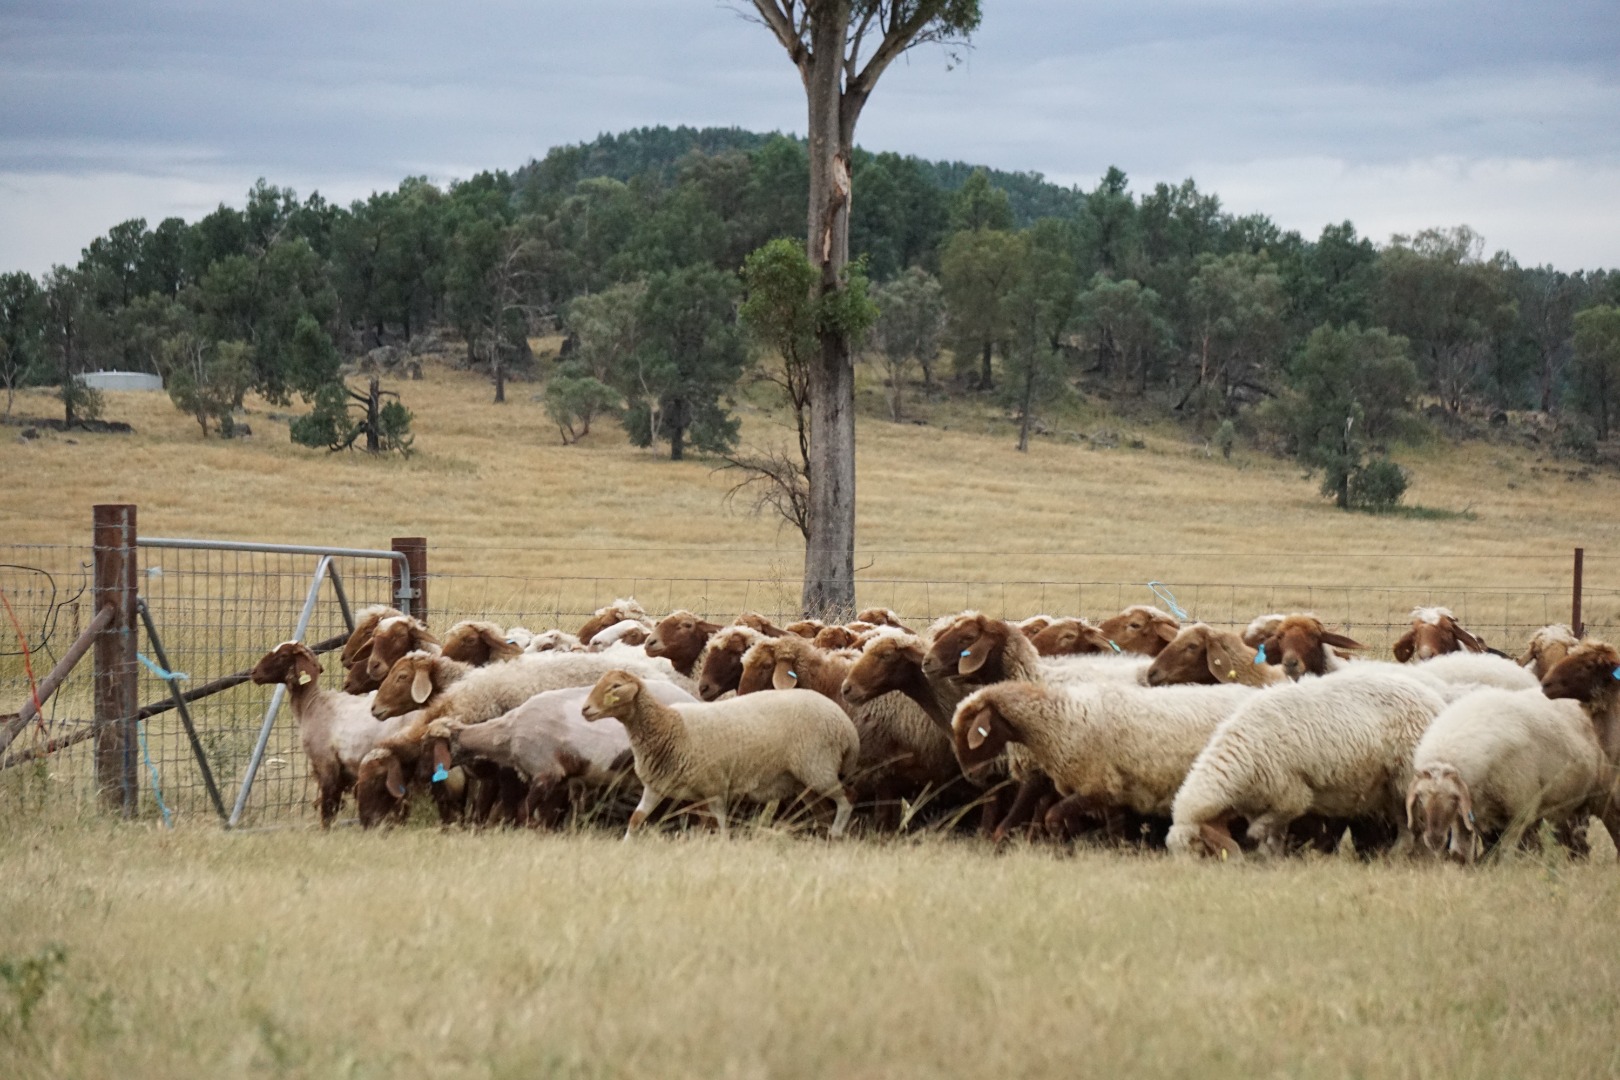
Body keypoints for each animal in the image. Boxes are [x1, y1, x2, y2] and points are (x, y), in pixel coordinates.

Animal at [579, 670, 861, 841]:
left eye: (615, 686)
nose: (585, 710)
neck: (670, 727)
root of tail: (845, 725)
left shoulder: (713, 787)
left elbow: (720, 826)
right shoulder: (657, 786)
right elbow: (636, 818)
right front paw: (626, 844)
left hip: (818, 766)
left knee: (847, 798)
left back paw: (836, 832)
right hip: (806, 778)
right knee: (823, 811)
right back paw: (824, 839)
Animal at [1406, 693, 1607, 861]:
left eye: (1454, 797)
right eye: (1421, 797)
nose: (1434, 839)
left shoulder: (1522, 811)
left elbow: (1504, 852)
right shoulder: (1468, 816)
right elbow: (1460, 852)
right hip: (1571, 806)